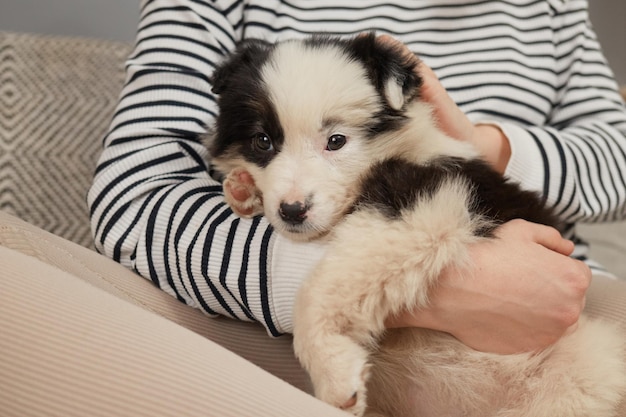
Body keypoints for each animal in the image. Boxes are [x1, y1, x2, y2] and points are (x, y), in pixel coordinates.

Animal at [206, 33, 624, 416]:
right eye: (263, 141)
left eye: (336, 140)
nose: (292, 210)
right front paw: (243, 187)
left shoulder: (422, 203)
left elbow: (321, 285)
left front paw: (331, 366)